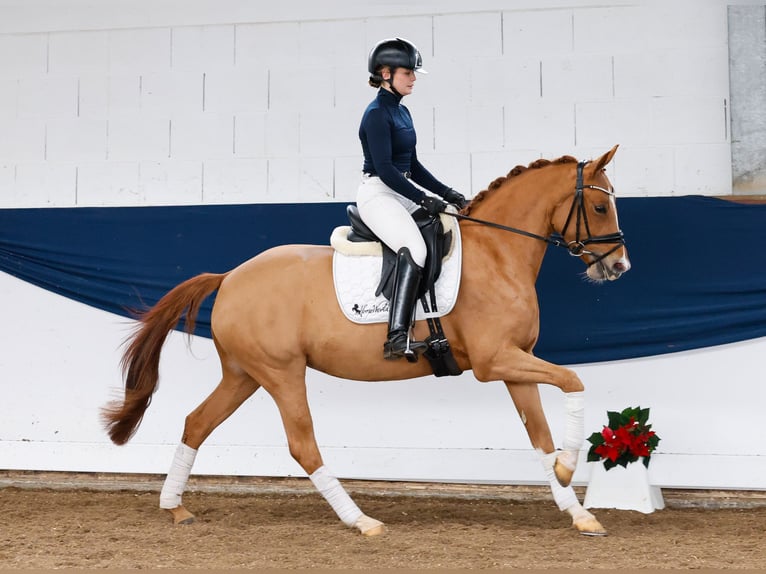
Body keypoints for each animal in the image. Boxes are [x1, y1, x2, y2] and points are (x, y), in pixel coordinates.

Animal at [102, 146, 632, 536]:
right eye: (600, 205)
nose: (619, 266)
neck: (497, 253)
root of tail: (230, 276)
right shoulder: (494, 361)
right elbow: (574, 381)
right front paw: (569, 469)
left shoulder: (515, 362)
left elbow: (540, 437)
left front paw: (577, 508)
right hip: (280, 372)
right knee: (302, 445)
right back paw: (361, 521)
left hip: (244, 375)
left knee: (197, 423)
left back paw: (174, 507)